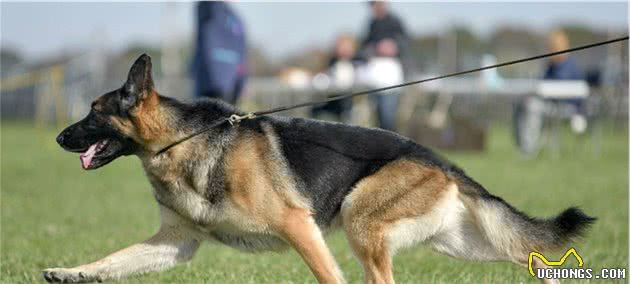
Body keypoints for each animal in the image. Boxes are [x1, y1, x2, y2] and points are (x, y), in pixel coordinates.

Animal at [45, 54, 596, 282]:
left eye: (93, 112)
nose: (58, 138)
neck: (183, 140)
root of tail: (437, 158)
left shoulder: (299, 227)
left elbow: (329, 277)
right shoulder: (175, 245)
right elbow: (112, 261)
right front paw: (69, 272)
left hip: (360, 220)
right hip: (462, 243)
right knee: (530, 255)